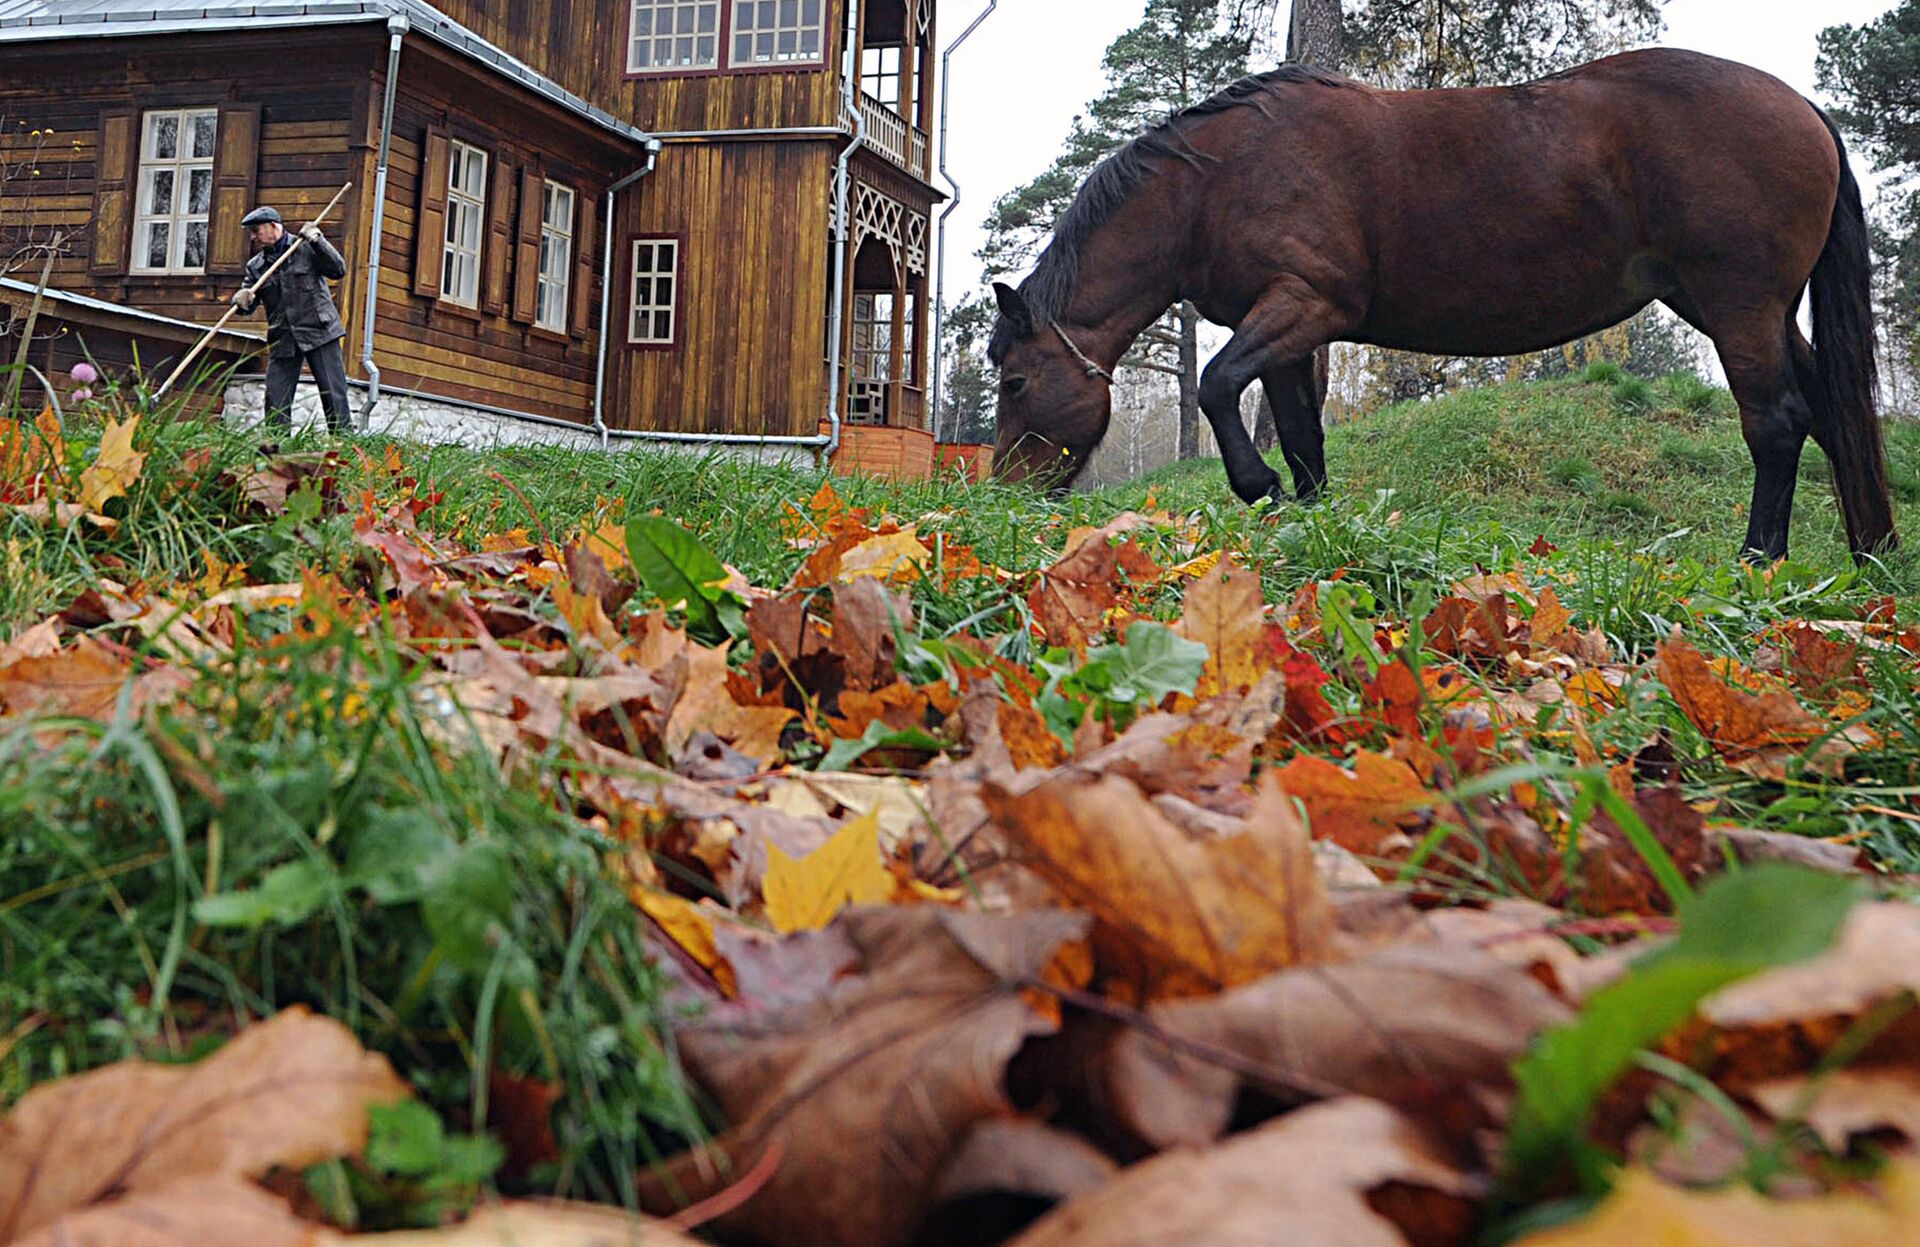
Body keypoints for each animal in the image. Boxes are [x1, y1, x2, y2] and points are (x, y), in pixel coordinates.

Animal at [998, 49, 1896, 561]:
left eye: (1013, 381)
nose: (1004, 493)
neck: (1218, 178)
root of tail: (1807, 110)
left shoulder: (1306, 304)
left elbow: (1217, 386)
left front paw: (1257, 487)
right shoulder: (1290, 329)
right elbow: (1303, 438)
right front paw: (1309, 523)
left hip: (1739, 306)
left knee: (1777, 423)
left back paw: (1759, 561)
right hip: (1745, 310)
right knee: (1829, 410)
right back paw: (1870, 555)